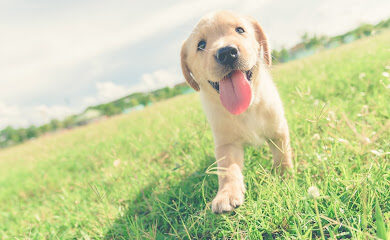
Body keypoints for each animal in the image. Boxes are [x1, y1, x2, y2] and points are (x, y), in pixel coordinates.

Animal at [180, 10, 292, 214]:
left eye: (240, 30)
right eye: (201, 45)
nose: (226, 53)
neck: (246, 109)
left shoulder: (277, 129)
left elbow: (282, 154)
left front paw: (284, 176)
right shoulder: (226, 144)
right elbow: (228, 170)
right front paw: (226, 194)